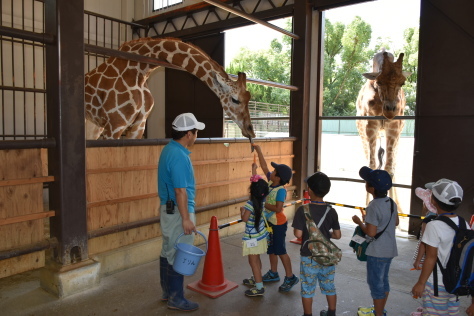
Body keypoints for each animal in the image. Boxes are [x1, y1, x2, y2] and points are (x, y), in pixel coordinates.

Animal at [85, 36, 256, 139]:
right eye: (235, 100)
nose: (250, 131)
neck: (139, 70)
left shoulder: (138, 126)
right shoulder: (115, 125)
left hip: (94, 126)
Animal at [356, 48, 412, 207]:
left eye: (402, 83)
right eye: (379, 81)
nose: (390, 111)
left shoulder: (393, 128)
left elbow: (388, 168)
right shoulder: (370, 127)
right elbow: (372, 166)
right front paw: (367, 205)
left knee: (394, 165)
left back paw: (399, 205)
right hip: (362, 133)